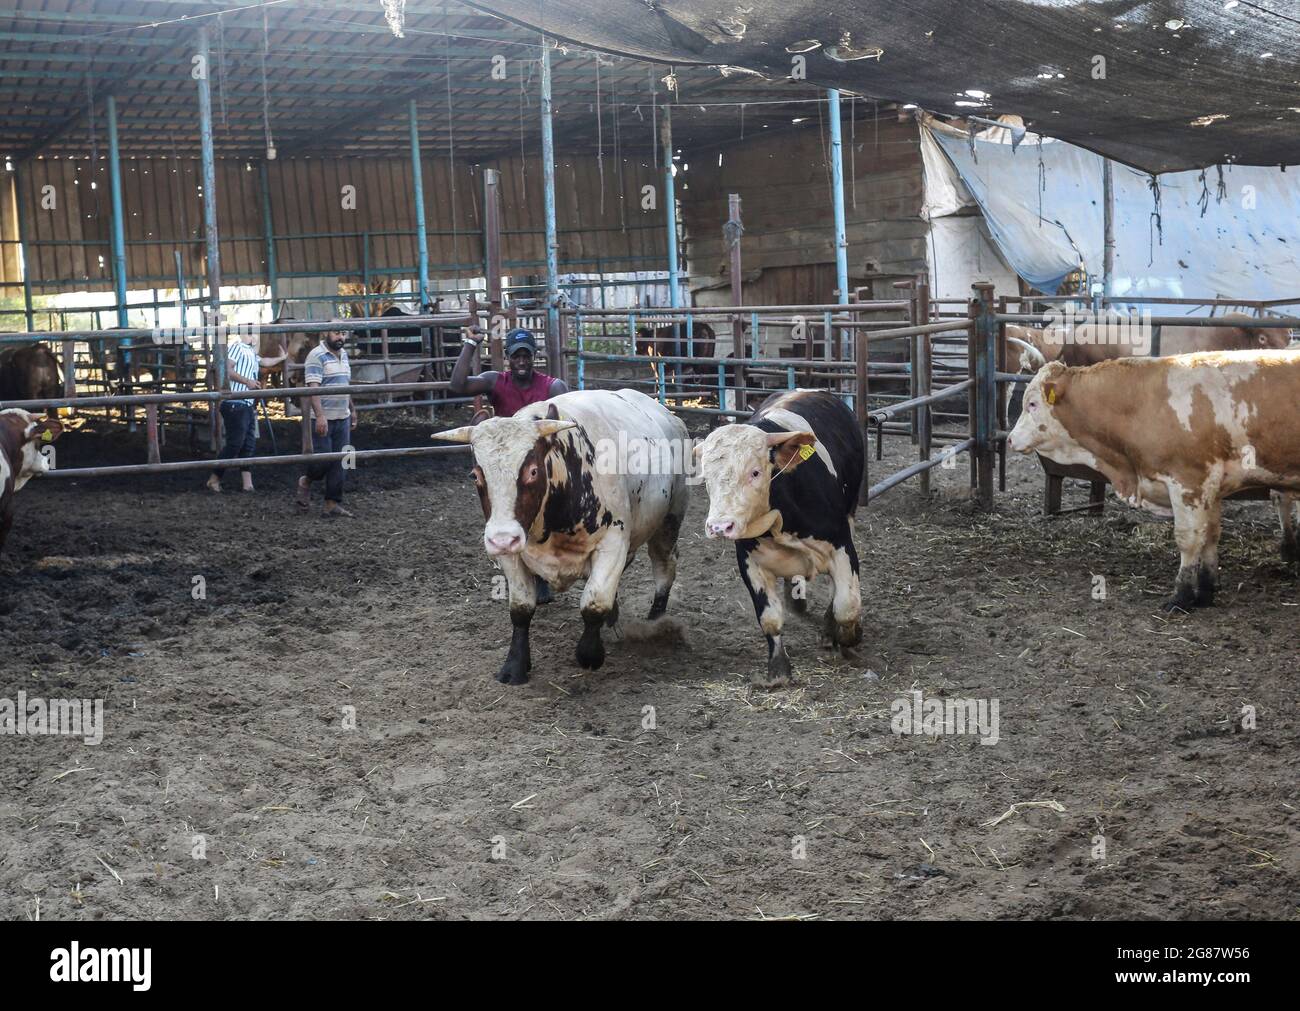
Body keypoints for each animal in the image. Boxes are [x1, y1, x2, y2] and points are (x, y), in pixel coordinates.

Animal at [434, 387, 691, 686]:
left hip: (669, 522)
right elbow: (521, 609)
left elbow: (594, 603)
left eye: (533, 471)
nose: (502, 539)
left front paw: (590, 654)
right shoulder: (512, 557)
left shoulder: (612, 543)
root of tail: (671, 418)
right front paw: (515, 665)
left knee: (664, 567)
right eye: (475, 475)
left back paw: (656, 621)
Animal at [696, 387, 868, 686]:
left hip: (851, 511)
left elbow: (847, 606)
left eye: (755, 472)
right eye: (707, 477)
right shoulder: (750, 562)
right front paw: (778, 670)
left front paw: (847, 637)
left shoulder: (841, 546)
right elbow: (770, 618)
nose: (719, 527)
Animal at [1008, 350, 1300, 610]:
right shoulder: (1210, 487)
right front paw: (1206, 592)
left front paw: (1181, 596)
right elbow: (1210, 535)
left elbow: (1188, 538)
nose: (1010, 439)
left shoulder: (1188, 482)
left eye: (1032, 404)